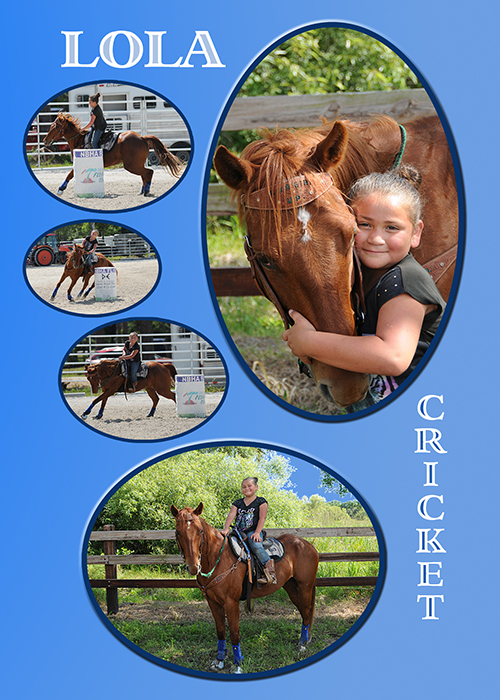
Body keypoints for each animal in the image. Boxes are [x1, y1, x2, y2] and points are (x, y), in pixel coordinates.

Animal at [44, 112, 182, 196]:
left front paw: (60, 189)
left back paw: (146, 191)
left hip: (131, 165)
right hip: (136, 164)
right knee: (145, 174)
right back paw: (143, 191)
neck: (80, 140)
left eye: (55, 127)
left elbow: (69, 175)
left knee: (149, 172)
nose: (45, 140)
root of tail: (142, 137)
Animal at [172, 504, 318, 672]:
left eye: (200, 531)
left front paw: (237, 665)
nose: (193, 566)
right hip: (292, 588)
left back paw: (302, 645)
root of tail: (308, 545)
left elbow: (234, 633)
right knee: (304, 612)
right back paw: (305, 640)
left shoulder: (231, 602)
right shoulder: (213, 602)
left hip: (305, 587)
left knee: (306, 613)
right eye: (178, 532)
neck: (217, 559)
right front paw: (219, 660)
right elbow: (220, 631)